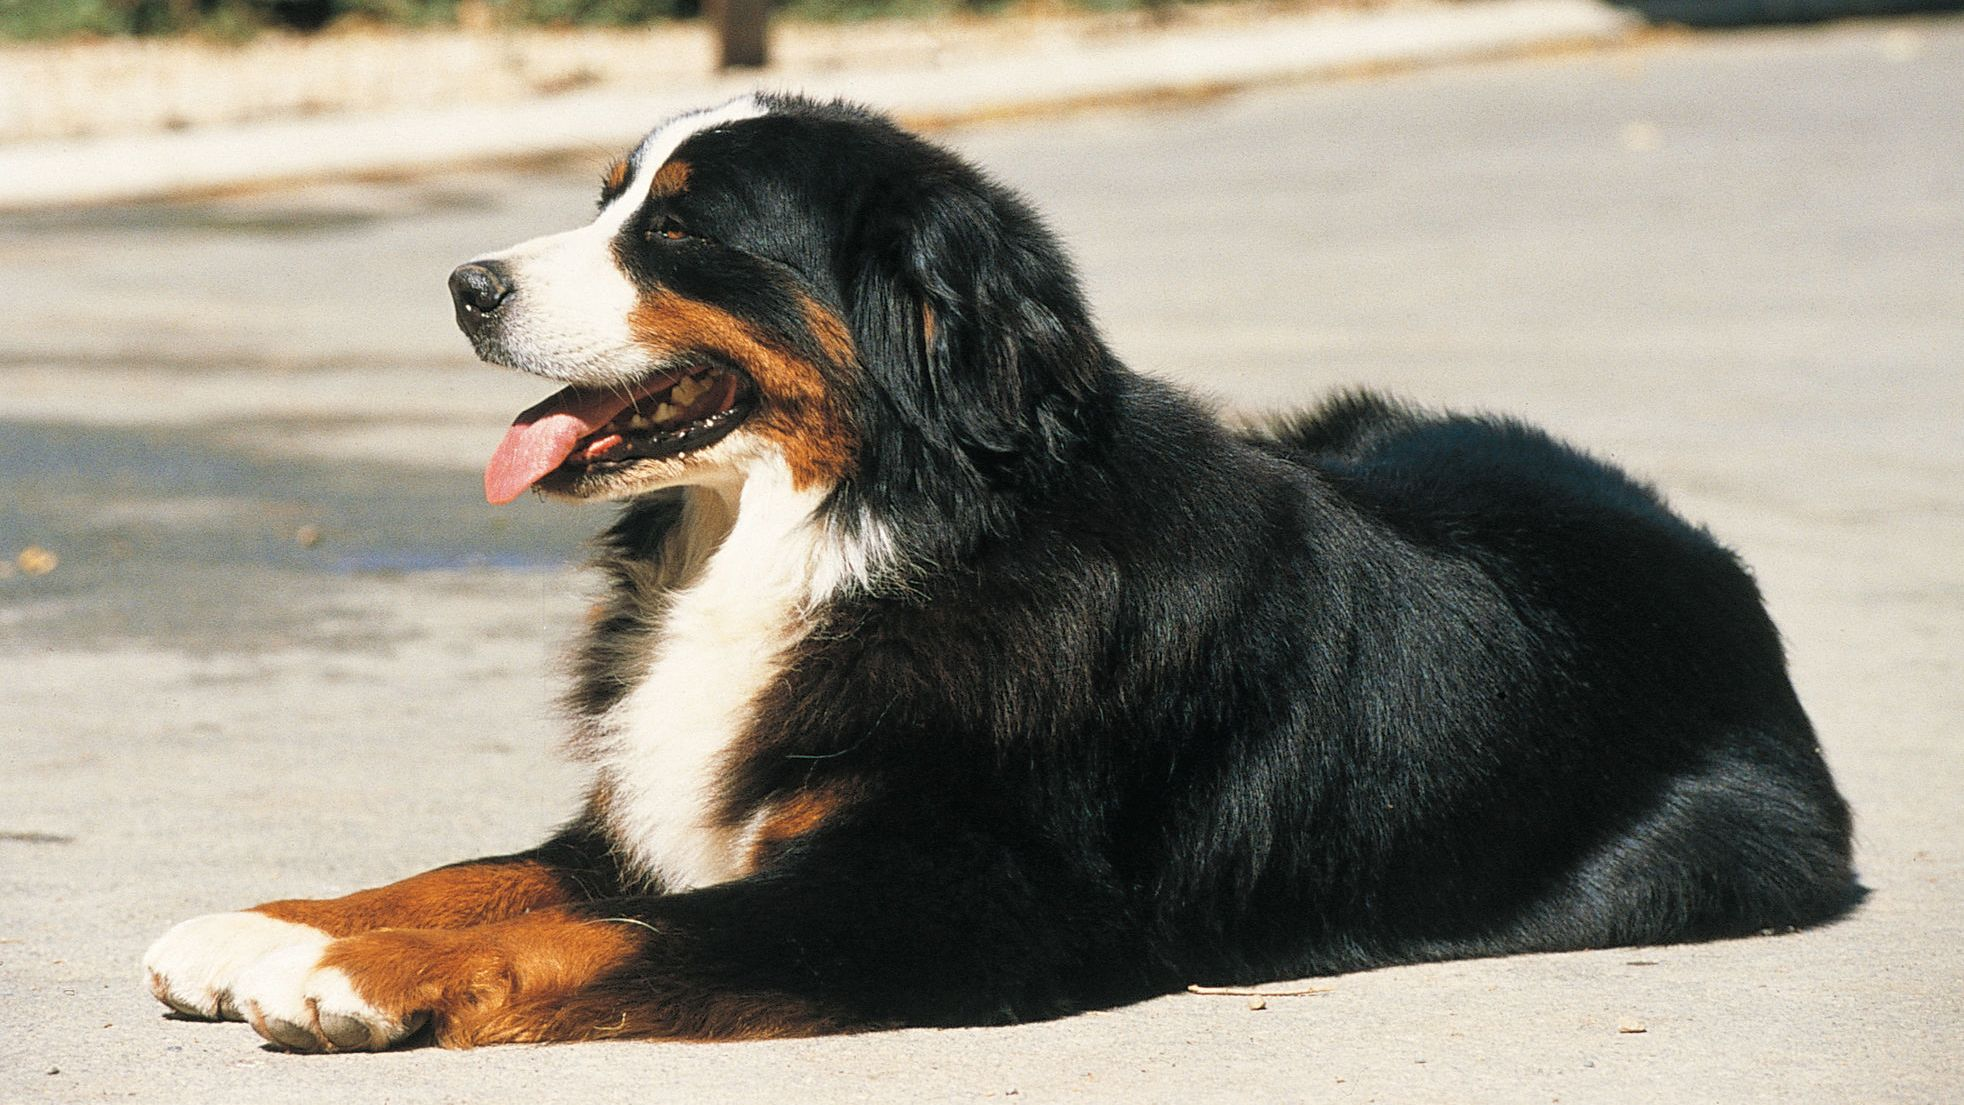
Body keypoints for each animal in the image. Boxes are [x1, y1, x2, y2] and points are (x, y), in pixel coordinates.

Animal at [145, 95, 1861, 1052]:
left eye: (679, 235)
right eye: (608, 197)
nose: (465, 284)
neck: (852, 538)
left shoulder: (956, 897)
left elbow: (601, 932)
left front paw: (351, 977)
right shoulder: (671, 811)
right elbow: (476, 870)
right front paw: (264, 927)